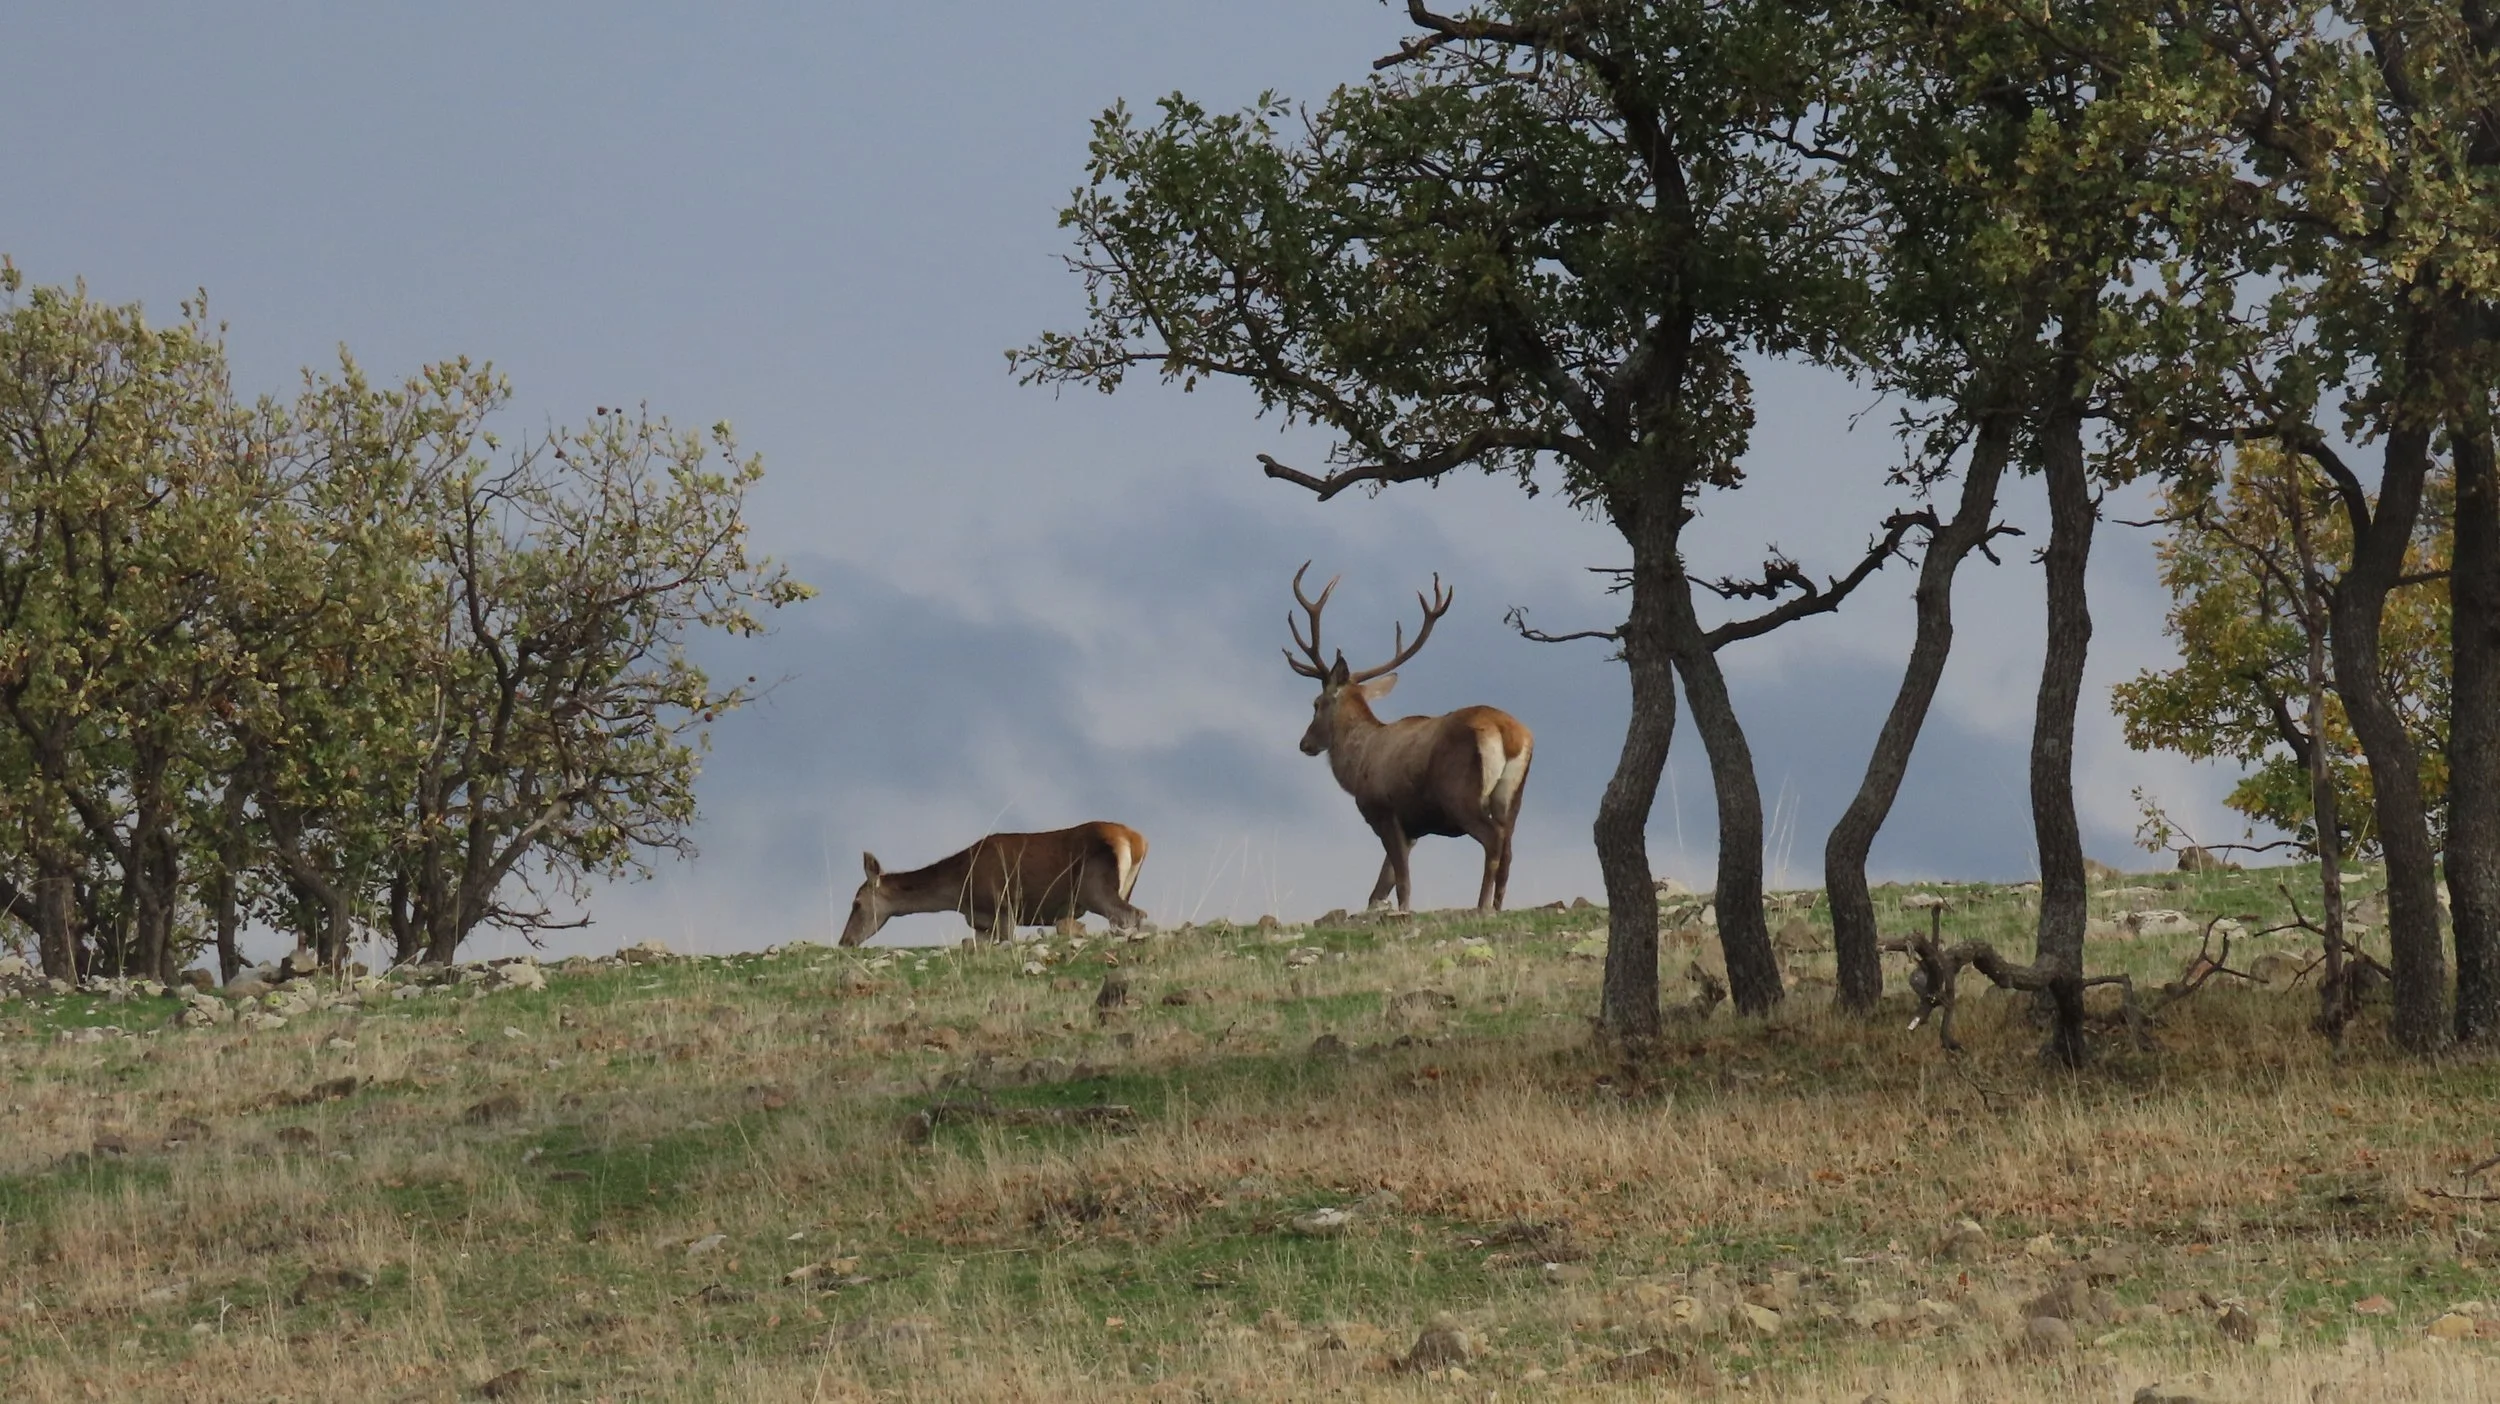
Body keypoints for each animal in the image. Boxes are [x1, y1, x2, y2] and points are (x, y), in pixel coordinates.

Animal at [840, 822, 1149, 946]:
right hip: (1123, 886)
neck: (960, 891)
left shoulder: (1004, 905)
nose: (845, 941)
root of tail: (1136, 841)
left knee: (1133, 915)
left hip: (1094, 888)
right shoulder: (982, 923)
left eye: (857, 903)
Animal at [1286, 563, 1532, 913]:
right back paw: (1497, 906)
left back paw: (1481, 905)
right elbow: (1381, 886)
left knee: (1492, 839)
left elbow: (1401, 880)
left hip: (1459, 794)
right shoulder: (1413, 827)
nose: (1305, 743)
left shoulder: (1383, 809)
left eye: (1316, 703)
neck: (1359, 763)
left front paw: (1402, 911)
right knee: (1508, 845)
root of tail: (1507, 733)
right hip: (1513, 798)